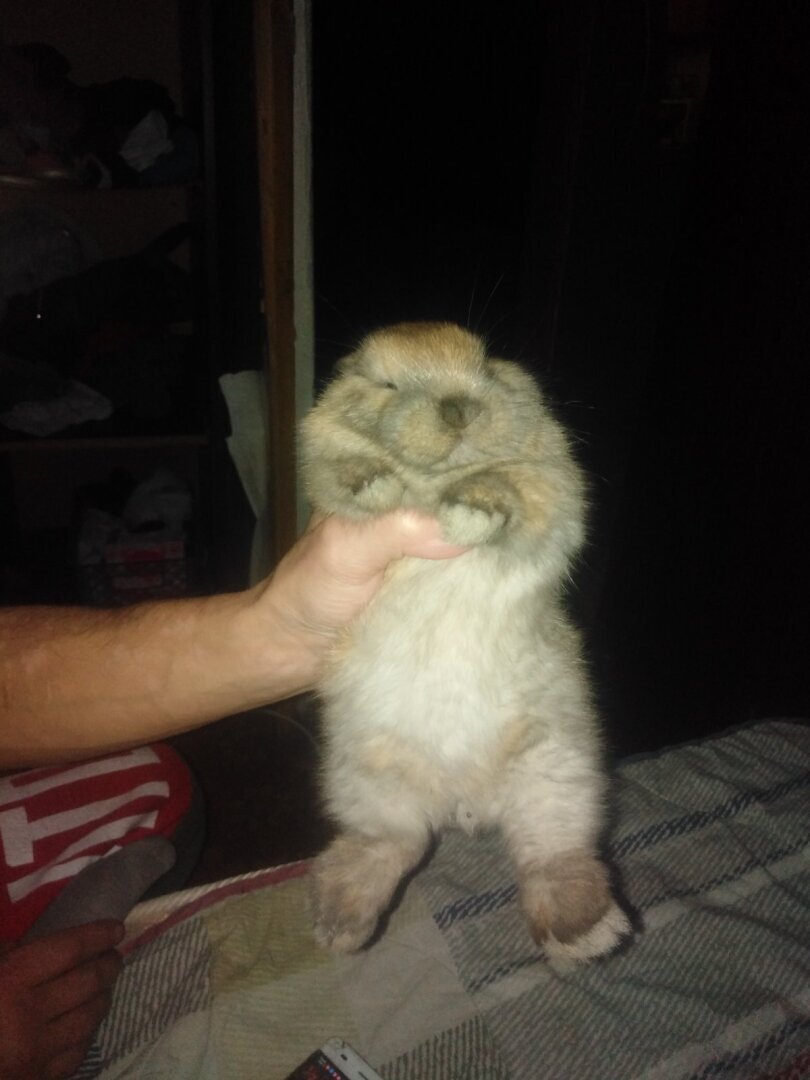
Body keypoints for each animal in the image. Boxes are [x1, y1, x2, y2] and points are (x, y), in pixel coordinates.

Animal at [300, 321, 631, 969]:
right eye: (383, 383)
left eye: (489, 365)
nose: (459, 410)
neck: (434, 480)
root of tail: (462, 798)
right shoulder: (322, 466)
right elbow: (339, 470)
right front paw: (374, 482)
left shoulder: (552, 486)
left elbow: (514, 489)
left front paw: (470, 511)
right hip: (365, 782)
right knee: (388, 846)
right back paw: (339, 925)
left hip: (560, 774)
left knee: (553, 858)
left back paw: (586, 935)